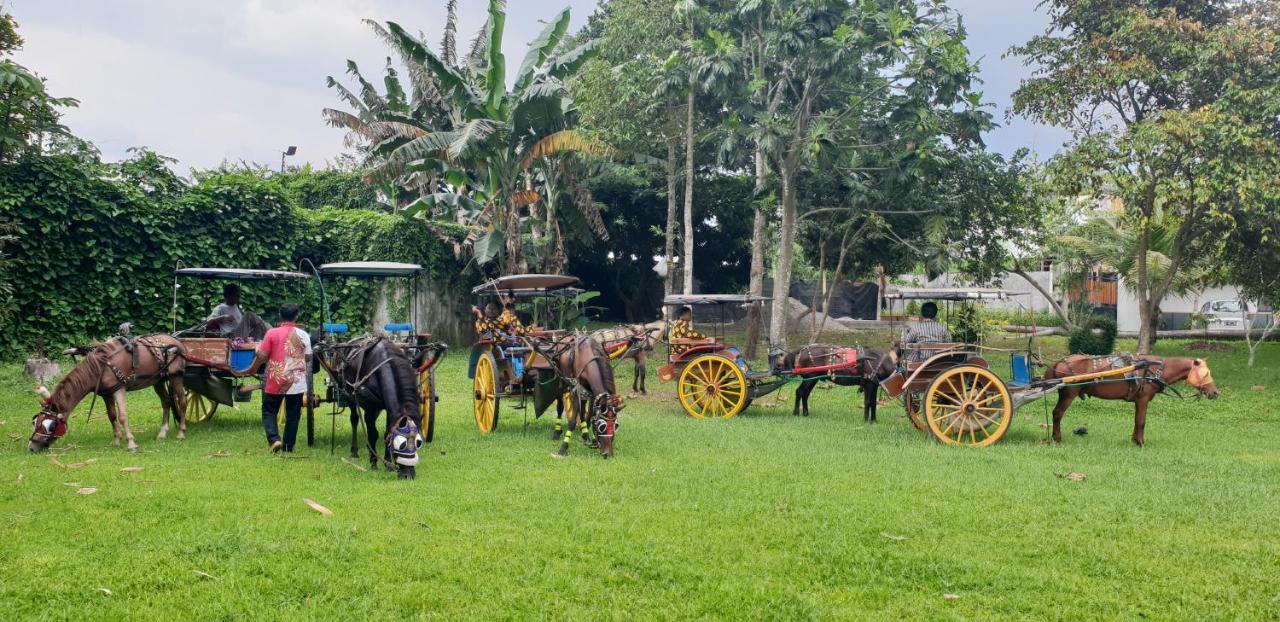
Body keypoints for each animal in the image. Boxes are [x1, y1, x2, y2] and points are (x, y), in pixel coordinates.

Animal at [28, 335, 186, 453]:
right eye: (35, 422)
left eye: (51, 426)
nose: (31, 447)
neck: (99, 368)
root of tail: (175, 340)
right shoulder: (106, 394)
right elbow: (112, 416)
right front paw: (116, 440)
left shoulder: (119, 390)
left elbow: (122, 416)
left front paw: (131, 443)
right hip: (157, 380)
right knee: (166, 401)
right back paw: (162, 432)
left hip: (175, 377)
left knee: (182, 401)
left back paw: (181, 432)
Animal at [322, 337, 422, 478]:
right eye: (401, 444)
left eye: (419, 442)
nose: (408, 475)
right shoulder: (370, 407)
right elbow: (373, 434)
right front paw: (373, 462)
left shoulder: (389, 409)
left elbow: (387, 432)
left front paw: (388, 464)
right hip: (349, 395)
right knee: (354, 419)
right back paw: (354, 451)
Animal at [1039, 355, 1218, 447]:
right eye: (1205, 374)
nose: (1216, 392)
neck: (1155, 369)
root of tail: (1057, 362)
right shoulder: (1143, 399)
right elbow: (1141, 421)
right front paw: (1140, 442)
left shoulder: (1139, 400)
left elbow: (1136, 420)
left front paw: (1134, 440)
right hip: (1069, 394)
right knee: (1057, 414)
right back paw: (1057, 438)